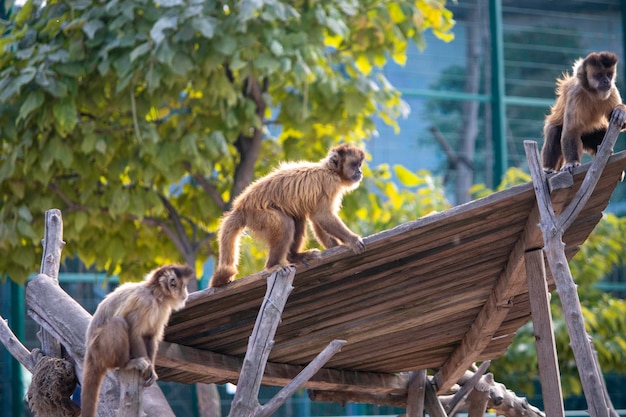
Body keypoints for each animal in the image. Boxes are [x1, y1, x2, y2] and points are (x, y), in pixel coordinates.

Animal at [80, 264, 193, 416]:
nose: (186, 293)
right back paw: (126, 364)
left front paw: (152, 370)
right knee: (119, 322)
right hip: (100, 348)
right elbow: (135, 334)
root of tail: (90, 351)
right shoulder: (145, 302)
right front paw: (148, 367)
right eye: (184, 286)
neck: (156, 294)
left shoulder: (162, 309)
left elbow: (151, 336)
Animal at [210, 143, 366, 286]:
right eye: (354, 165)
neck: (330, 170)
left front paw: (335, 248)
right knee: (285, 224)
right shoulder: (329, 183)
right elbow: (322, 216)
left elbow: (317, 220)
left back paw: (294, 256)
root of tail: (240, 207)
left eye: (359, 165)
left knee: (298, 219)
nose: (360, 171)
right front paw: (352, 240)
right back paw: (273, 265)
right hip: (258, 216)